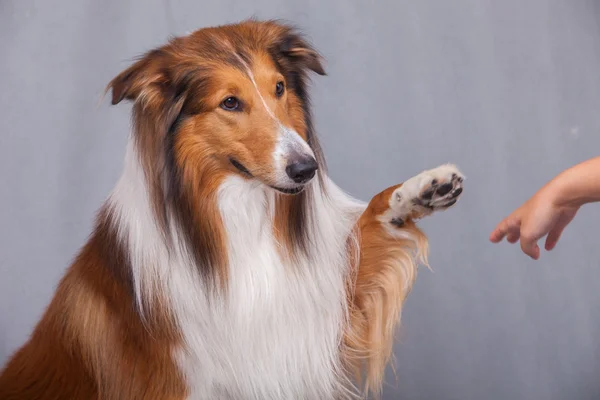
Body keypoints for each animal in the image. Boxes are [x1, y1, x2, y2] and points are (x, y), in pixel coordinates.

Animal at [0, 19, 464, 400]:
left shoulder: (314, 306)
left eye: (279, 88)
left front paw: (421, 189)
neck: (239, 213)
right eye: (229, 103)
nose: (306, 168)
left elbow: (372, 218)